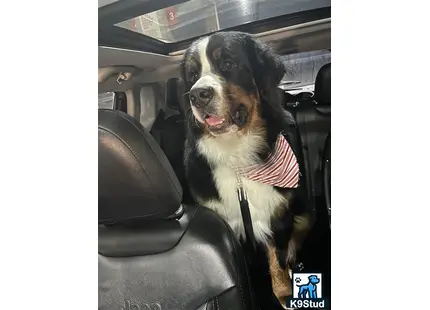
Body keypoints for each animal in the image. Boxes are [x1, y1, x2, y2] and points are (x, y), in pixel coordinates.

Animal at [180, 30, 310, 306]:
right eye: (193, 76)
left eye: (228, 64)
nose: (198, 95)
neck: (237, 156)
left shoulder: (278, 216)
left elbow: (278, 259)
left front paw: (284, 292)